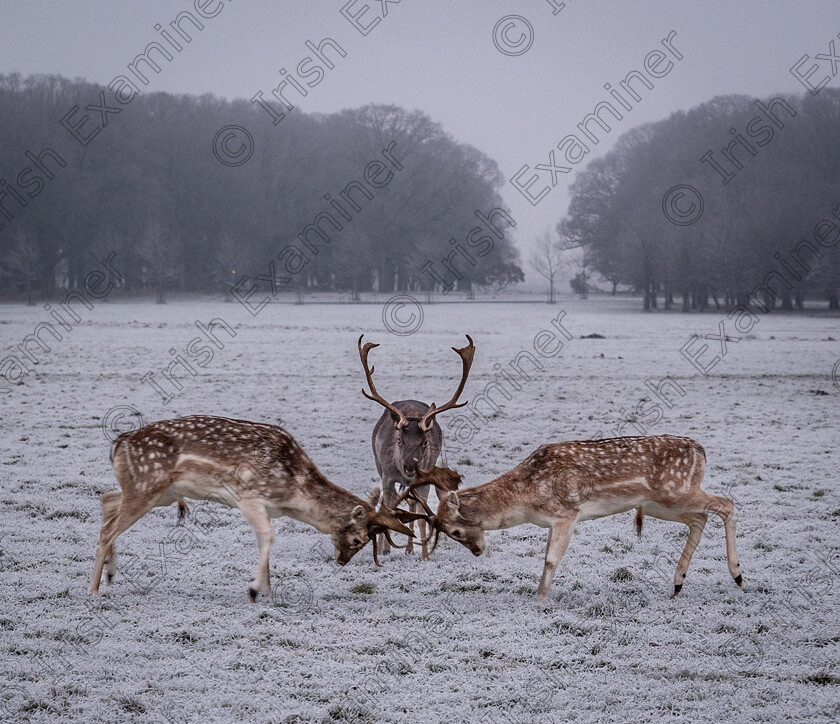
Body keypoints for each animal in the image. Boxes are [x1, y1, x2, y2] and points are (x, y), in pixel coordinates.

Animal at [88, 416, 424, 596]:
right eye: (357, 539)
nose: (342, 561)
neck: (293, 491)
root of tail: (118, 443)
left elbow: (267, 538)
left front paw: (267, 590)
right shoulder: (249, 496)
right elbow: (268, 536)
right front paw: (257, 590)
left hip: (161, 493)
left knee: (107, 498)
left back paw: (111, 574)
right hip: (148, 486)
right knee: (107, 528)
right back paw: (93, 589)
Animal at [354, 334, 472, 560]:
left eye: (425, 443)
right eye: (399, 440)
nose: (409, 467)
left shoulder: (425, 479)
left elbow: (421, 515)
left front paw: (425, 554)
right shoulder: (387, 476)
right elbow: (387, 508)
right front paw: (384, 548)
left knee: (411, 505)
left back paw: (409, 547)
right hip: (380, 466)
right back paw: (388, 547)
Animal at [400, 436, 740, 600]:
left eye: (455, 531)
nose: (477, 551)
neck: (526, 496)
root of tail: (701, 450)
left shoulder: (567, 514)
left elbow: (552, 559)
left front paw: (541, 600)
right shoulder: (552, 521)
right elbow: (545, 558)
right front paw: (538, 595)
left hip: (676, 490)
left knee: (726, 503)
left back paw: (737, 574)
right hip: (658, 503)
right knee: (699, 519)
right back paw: (678, 583)